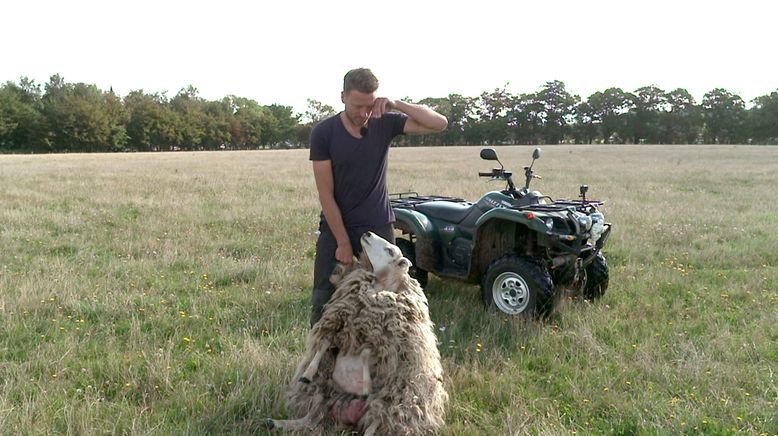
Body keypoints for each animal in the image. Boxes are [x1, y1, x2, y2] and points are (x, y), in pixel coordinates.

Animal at [268, 230, 446, 434]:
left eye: (390, 250)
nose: (367, 233)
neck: (378, 289)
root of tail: (348, 418)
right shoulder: (340, 323)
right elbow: (324, 344)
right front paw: (308, 374)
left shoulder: (382, 344)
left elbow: (365, 354)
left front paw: (366, 386)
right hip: (325, 395)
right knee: (311, 420)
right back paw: (277, 422)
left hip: (387, 404)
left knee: (372, 427)